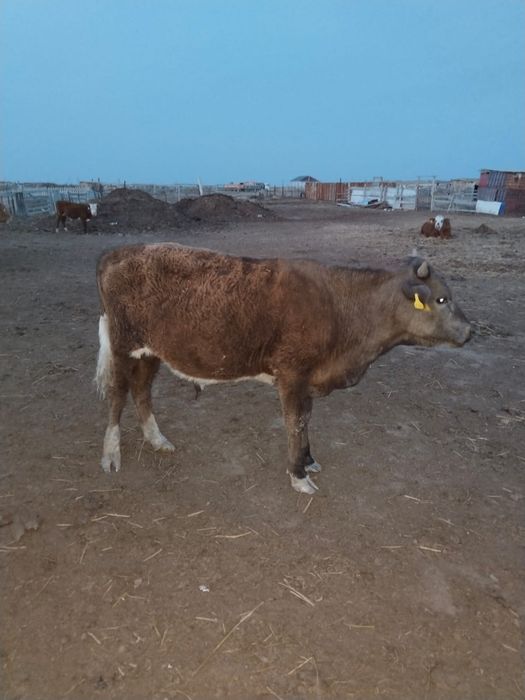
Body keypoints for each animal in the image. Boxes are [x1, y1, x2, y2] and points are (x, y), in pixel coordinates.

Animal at [95, 244, 471, 495]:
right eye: (441, 299)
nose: (470, 331)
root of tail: (120, 252)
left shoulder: (307, 379)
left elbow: (307, 419)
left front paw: (308, 460)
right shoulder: (292, 374)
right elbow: (296, 422)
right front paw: (298, 475)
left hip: (150, 352)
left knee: (142, 389)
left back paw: (157, 439)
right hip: (123, 345)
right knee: (117, 393)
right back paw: (111, 454)